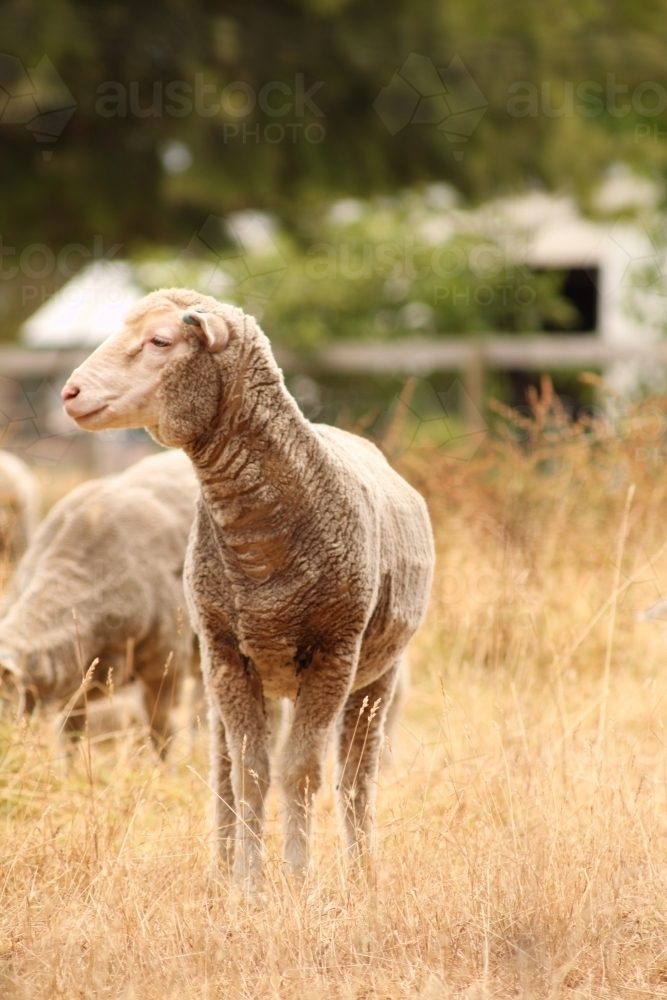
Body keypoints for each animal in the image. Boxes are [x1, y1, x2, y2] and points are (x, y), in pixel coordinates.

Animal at [61, 288, 438, 884]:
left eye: (161, 340)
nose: (70, 393)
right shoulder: (226, 654)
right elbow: (250, 774)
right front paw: (247, 884)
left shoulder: (334, 653)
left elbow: (300, 772)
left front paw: (299, 881)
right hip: (239, 671)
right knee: (223, 769)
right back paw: (219, 869)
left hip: (377, 675)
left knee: (357, 775)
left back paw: (363, 873)